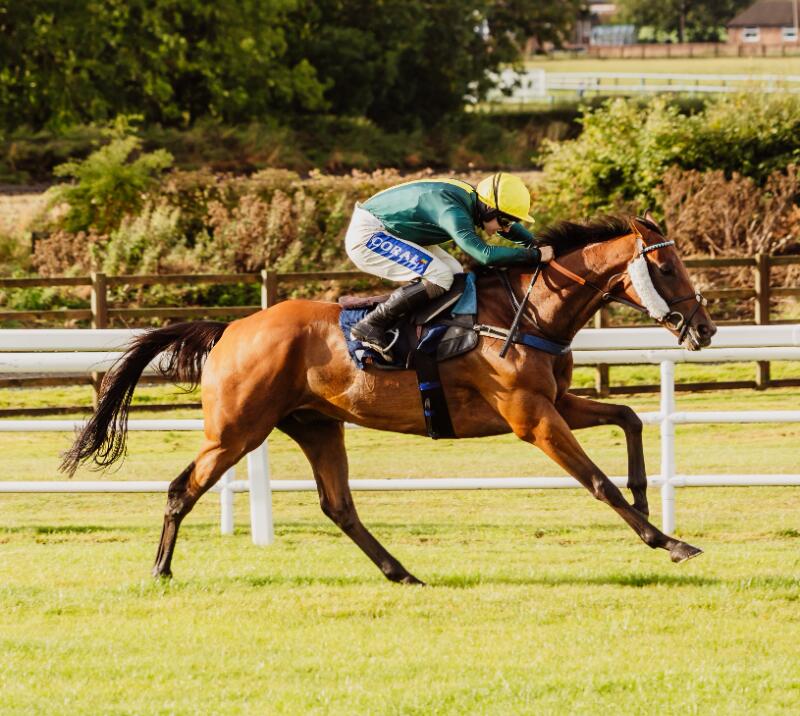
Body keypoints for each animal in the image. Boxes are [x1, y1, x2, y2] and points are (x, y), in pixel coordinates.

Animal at [61, 214, 716, 585]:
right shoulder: (530, 416)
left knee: (339, 506)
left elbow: (629, 416)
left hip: (316, 425)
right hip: (235, 432)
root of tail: (230, 330)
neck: (531, 308)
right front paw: (669, 542)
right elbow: (597, 482)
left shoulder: (556, 401)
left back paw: (400, 572)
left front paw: (647, 494)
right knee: (181, 489)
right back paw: (160, 569)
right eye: (669, 268)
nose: (704, 329)